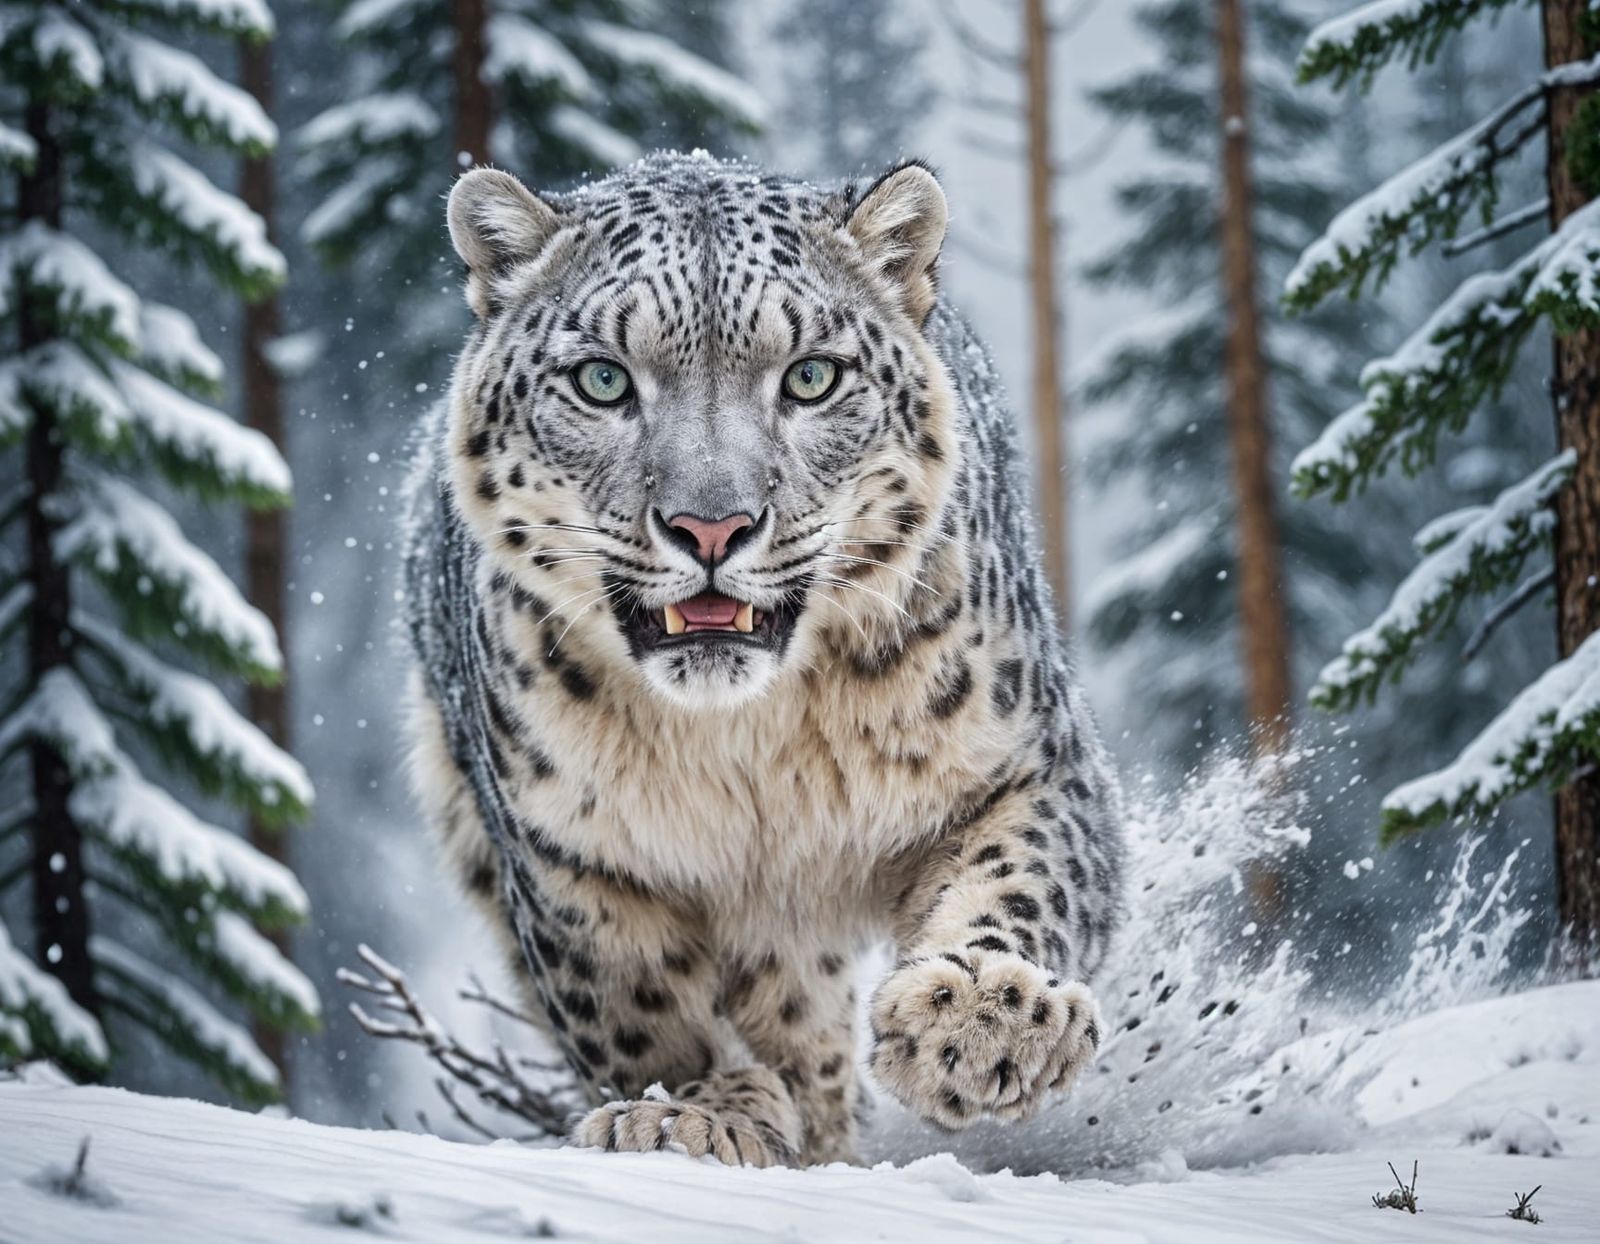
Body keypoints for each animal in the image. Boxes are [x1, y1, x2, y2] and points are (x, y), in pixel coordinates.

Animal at [401, 151, 1126, 1168]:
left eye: (812, 377)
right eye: (603, 380)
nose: (713, 525)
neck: (750, 746)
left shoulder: (1026, 759)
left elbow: (1021, 876)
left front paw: (981, 1021)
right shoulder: (569, 857)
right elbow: (637, 1008)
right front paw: (686, 1114)